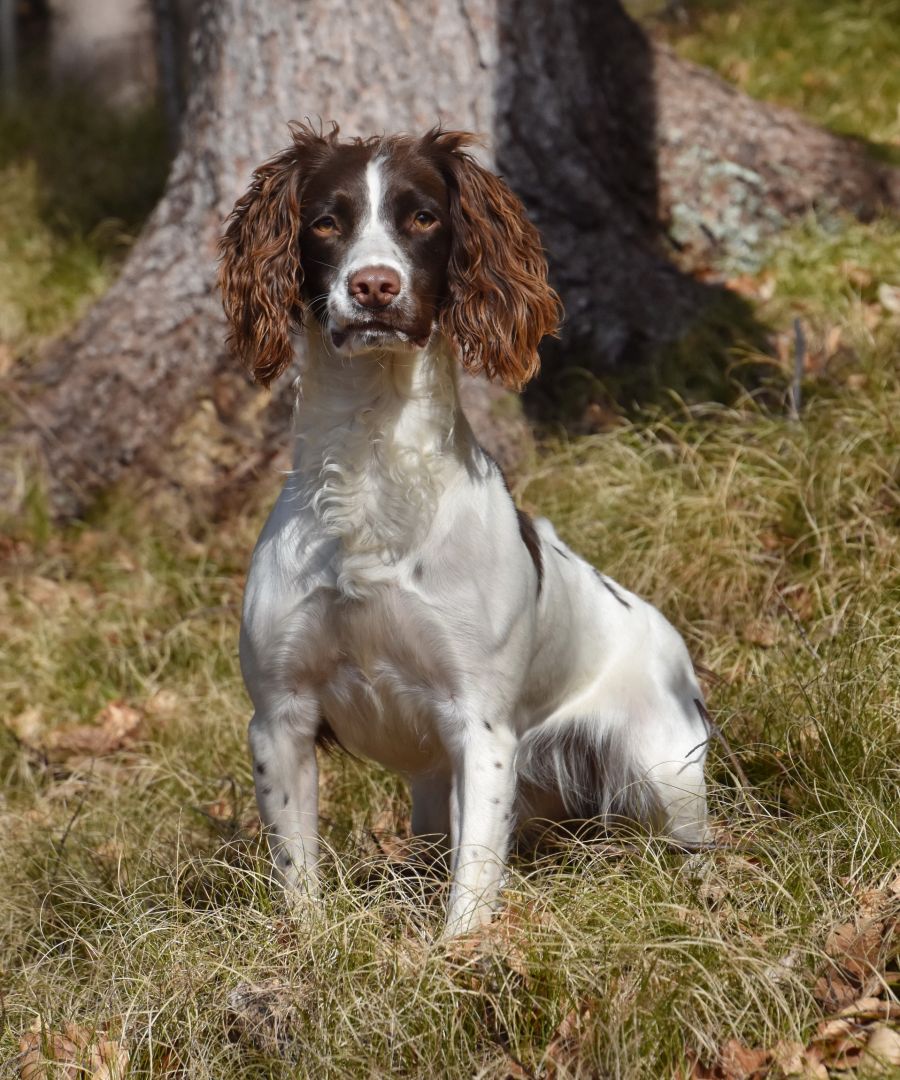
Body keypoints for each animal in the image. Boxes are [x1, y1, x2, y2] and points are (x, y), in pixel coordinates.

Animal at [218, 124, 708, 937]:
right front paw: (309, 944)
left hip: (662, 766)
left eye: (423, 217)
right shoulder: (279, 716)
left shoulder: (479, 724)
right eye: (325, 222)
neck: (374, 469)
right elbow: (298, 874)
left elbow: (475, 874)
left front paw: (462, 952)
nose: (374, 287)